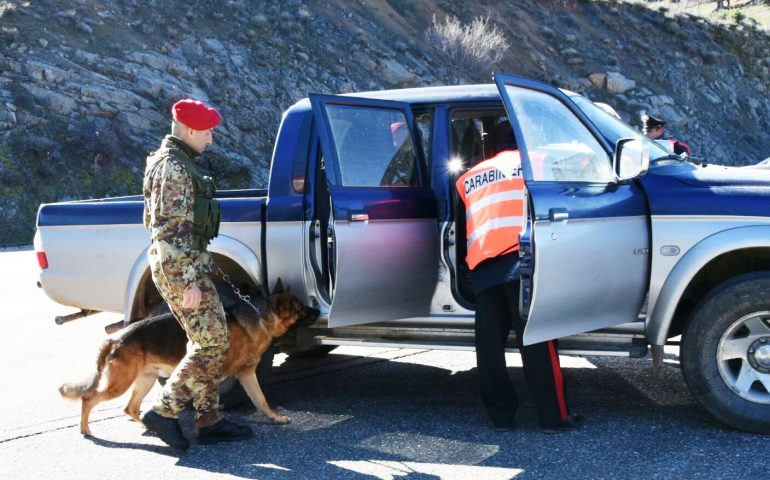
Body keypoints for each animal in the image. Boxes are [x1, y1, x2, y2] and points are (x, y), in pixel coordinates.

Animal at [57, 280, 318, 436]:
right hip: (119, 383)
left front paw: (275, 418)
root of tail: (114, 339)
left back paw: (150, 426)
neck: (261, 316)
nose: (317, 310)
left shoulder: (246, 375)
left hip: (145, 380)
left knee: (130, 408)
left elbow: (261, 400)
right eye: (301, 308)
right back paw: (85, 429)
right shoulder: (215, 372)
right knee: (89, 398)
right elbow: (212, 400)